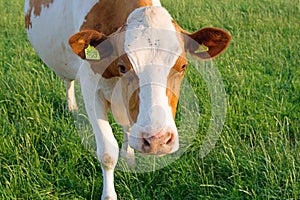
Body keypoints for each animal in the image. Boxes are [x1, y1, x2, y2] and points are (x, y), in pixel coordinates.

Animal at [24, 0, 231, 199]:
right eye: (123, 67)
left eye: (183, 66)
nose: (157, 140)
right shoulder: (90, 86)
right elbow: (107, 152)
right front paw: (109, 195)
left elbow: (129, 128)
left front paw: (130, 160)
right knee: (68, 81)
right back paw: (71, 107)